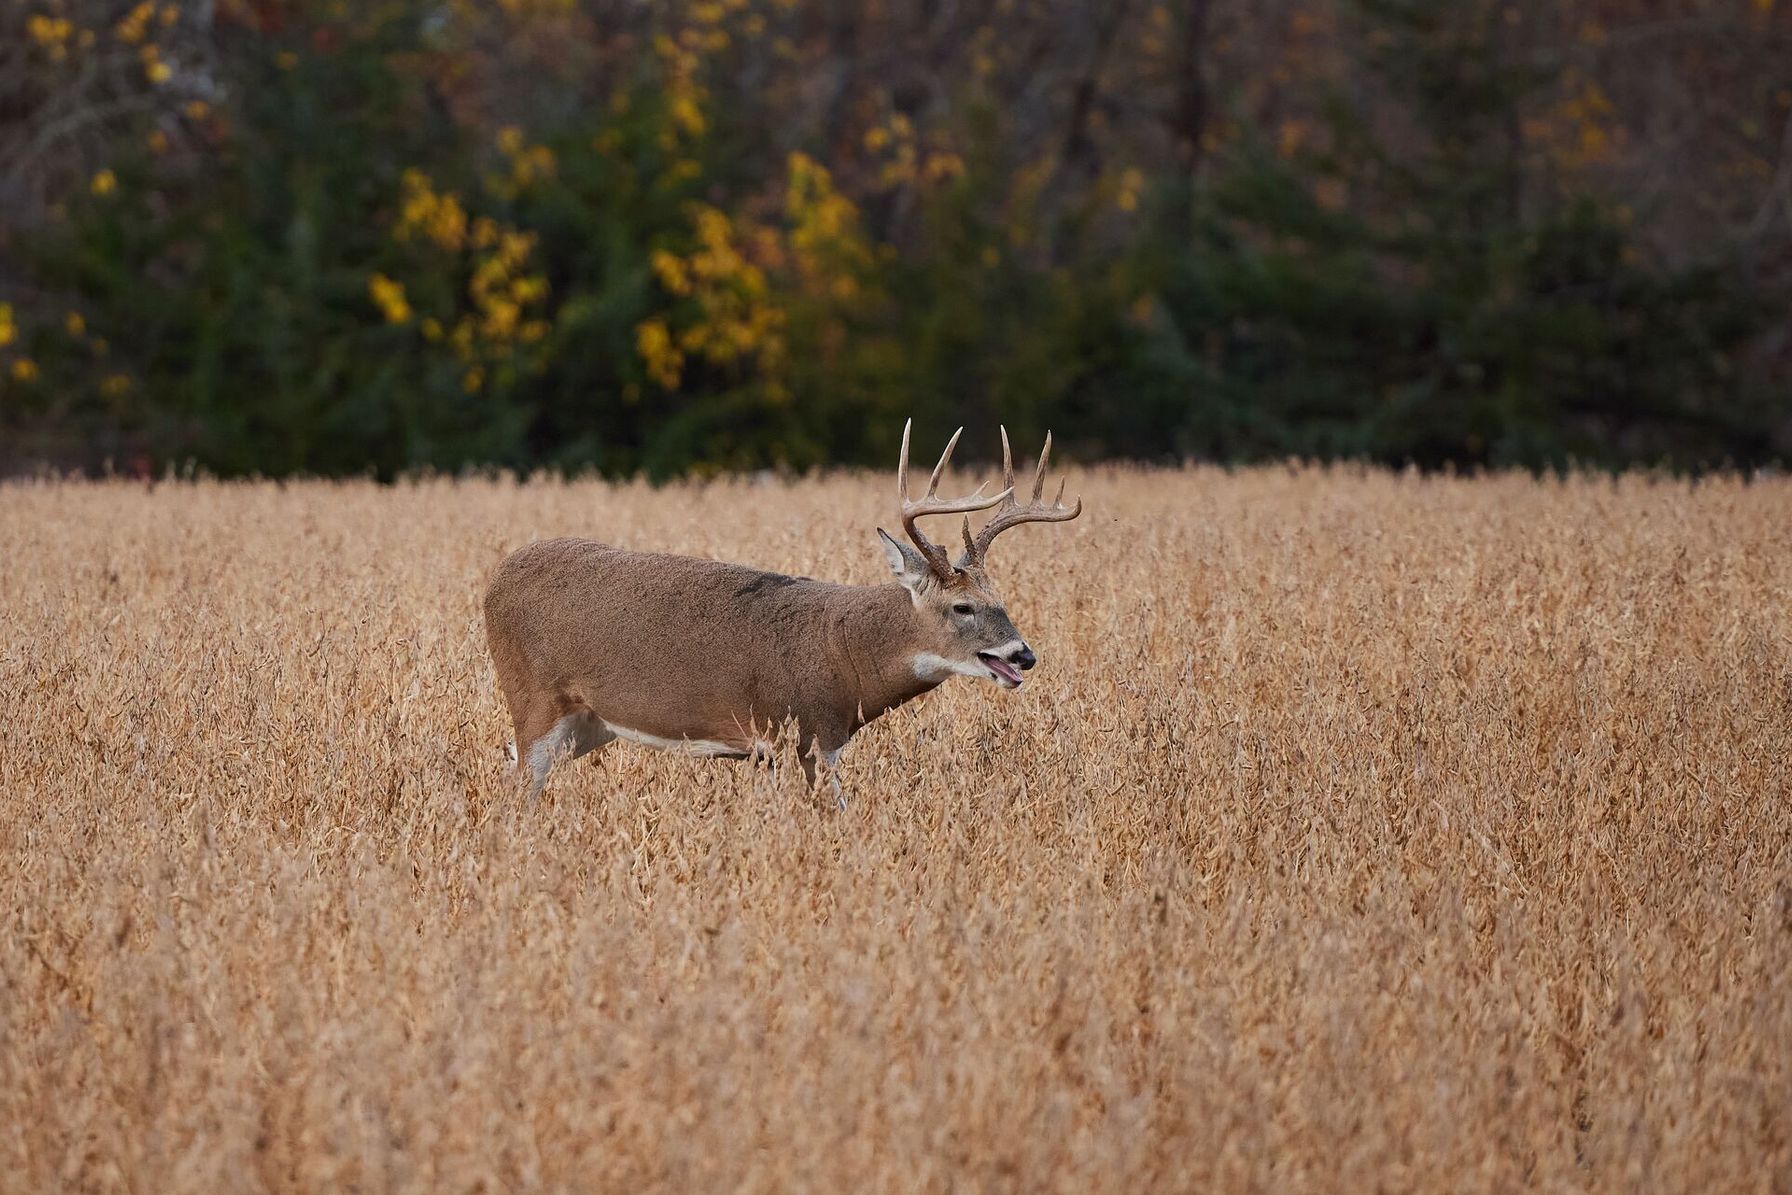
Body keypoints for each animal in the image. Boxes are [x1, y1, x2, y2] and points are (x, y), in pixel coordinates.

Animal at [482, 421, 1081, 804]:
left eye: (1001, 599)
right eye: (962, 606)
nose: (1023, 655)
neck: (846, 651)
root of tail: (495, 578)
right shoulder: (802, 734)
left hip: (589, 724)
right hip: (533, 699)